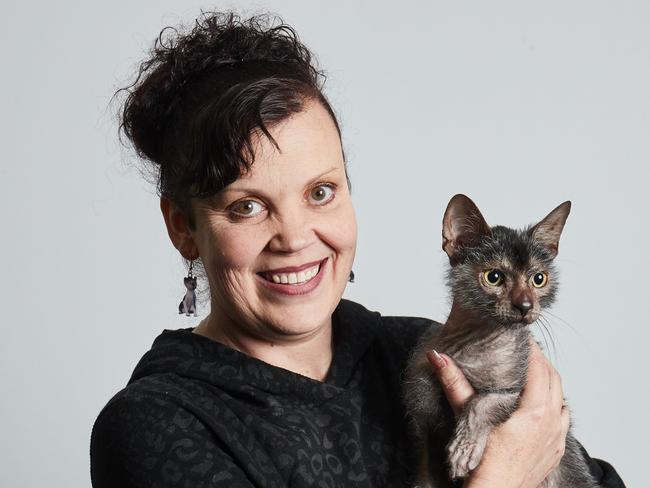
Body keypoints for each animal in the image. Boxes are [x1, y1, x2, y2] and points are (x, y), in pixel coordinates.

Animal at [402, 194, 596, 488]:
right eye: (493, 277)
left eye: (539, 279)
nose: (525, 306)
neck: (472, 343)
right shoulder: (424, 425)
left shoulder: (522, 394)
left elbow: (483, 401)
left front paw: (463, 449)